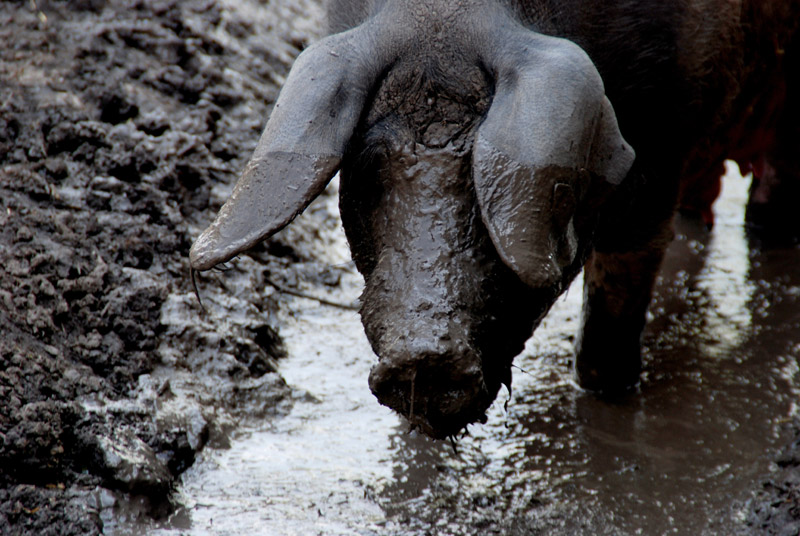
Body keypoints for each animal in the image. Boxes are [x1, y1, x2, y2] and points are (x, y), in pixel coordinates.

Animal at [189, 1, 800, 440]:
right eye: (367, 172)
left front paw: (609, 395)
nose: (422, 357)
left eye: (480, 172)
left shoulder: (659, 159)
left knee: (770, 208)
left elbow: (610, 323)